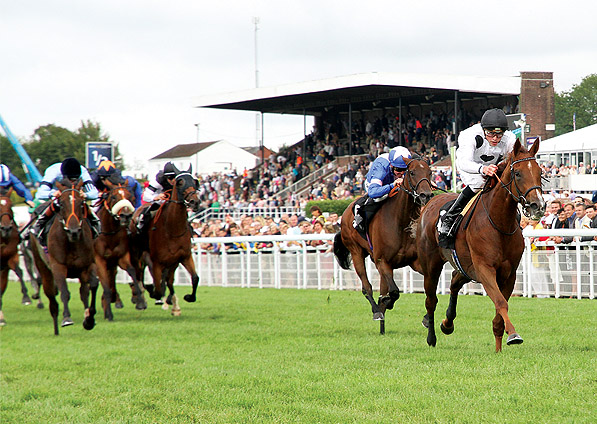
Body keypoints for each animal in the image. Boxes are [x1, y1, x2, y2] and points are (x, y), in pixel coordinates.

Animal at [28, 179, 99, 334]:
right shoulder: (58, 266)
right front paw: (66, 318)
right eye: (61, 203)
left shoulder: (88, 265)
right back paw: (56, 329)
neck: (71, 242)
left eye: (81, 203)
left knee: (83, 291)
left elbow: (93, 285)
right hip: (43, 267)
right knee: (52, 298)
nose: (74, 231)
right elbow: (64, 292)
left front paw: (89, 319)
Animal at [95, 177, 148, 320]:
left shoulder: (122, 256)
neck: (110, 233)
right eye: (113, 197)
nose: (126, 215)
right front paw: (108, 313)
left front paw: (140, 301)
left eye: (131, 197)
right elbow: (105, 284)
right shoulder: (99, 260)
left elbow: (132, 272)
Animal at [330, 157, 434, 334]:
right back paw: (377, 311)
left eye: (430, 172)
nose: (426, 195)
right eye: (412, 172)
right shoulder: (382, 261)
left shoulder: (414, 262)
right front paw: (386, 302)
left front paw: (426, 318)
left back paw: (382, 326)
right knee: (366, 286)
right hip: (356, 252)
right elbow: (394, 291)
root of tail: (344, 215)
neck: (400, 221)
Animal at [414, 139, 544, 352]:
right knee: (431, 300)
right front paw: (513, 334)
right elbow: (500, 302)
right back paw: (431, 337)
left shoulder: (509, 273)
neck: (499, 223)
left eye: (540, 172)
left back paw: (447, 324)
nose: (538, 206)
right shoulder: (484, 268)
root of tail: (431, 200)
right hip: (431, 264)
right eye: (518, 173)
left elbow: (500, 308)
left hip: (465, 266)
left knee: (454, 282)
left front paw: (499, 347)